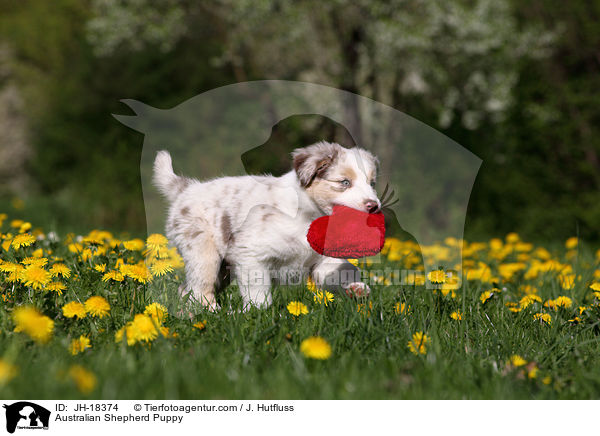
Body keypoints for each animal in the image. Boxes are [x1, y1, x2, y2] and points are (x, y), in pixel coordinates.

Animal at [154, 141, 380, 312]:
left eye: (372, 183)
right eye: (344, 182)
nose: (374, 206)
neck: (309, 216)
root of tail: (187, 188)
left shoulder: (322, 259)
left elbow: (341, 271)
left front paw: (357, 289)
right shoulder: (251, 253)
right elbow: (258, 292)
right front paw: (258, 314)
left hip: (223, 269)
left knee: (186, 289)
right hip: (203, 252)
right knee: (200, 287)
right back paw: (214, 313)